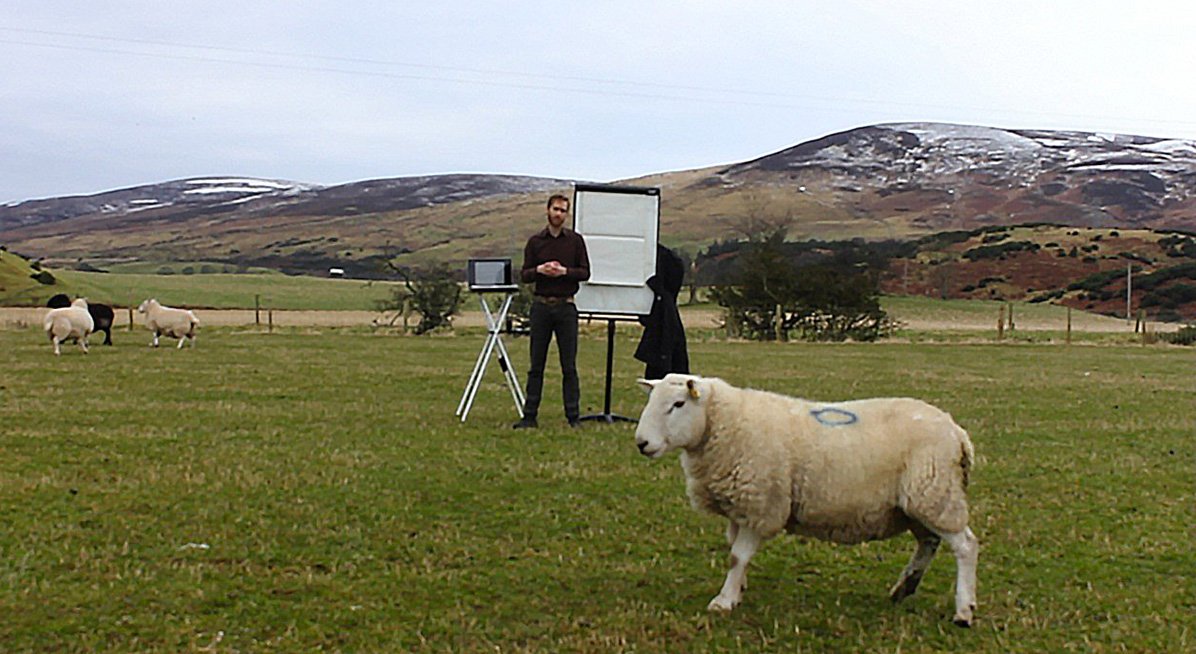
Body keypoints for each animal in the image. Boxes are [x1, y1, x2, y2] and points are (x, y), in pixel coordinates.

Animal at [636, 373, 980, 631]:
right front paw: (739, 589)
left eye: (678, 403)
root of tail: (957, 431)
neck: (724, 423)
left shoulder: (762, 503)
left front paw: (724, 601)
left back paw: (963, 610)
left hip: (934, 492)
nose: (642, 443)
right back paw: (904, 588)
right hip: (916, 504)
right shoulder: (740, 506)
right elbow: (735, 551)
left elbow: (737, 556)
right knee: (928, 543)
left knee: (965, 545)